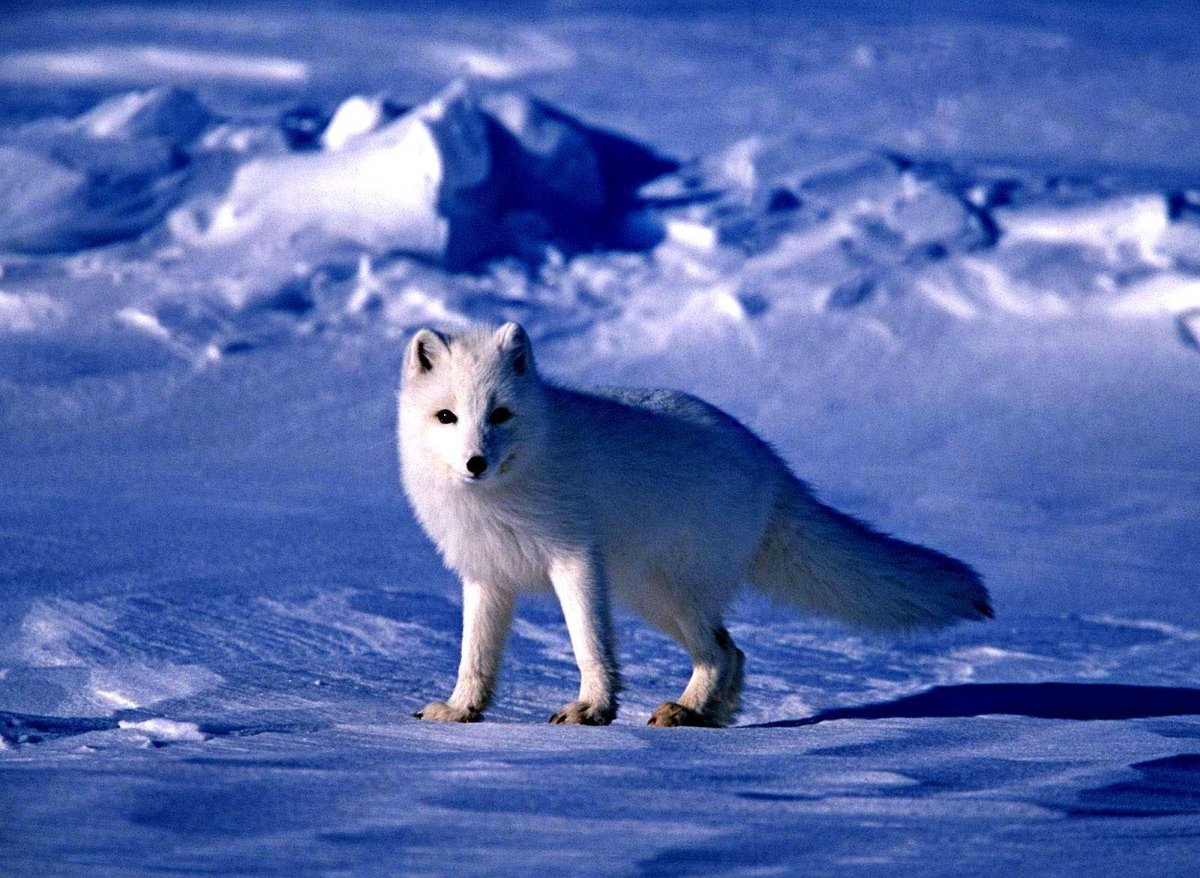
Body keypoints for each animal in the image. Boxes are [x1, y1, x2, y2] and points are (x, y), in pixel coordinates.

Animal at [399, 322, 992, 728]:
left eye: (500, 414)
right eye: (447, 416)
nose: (475, 462)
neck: (505, 492)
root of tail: (772, 465)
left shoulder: (575, 560)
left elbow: (590, 644)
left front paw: (592, 709)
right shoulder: (486, 575)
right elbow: (474, 656)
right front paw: (460, 710)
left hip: (669, 591)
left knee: (722, 650)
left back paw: (689, 711)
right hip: (654, 597)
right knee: (732, 650)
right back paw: (707, 715)